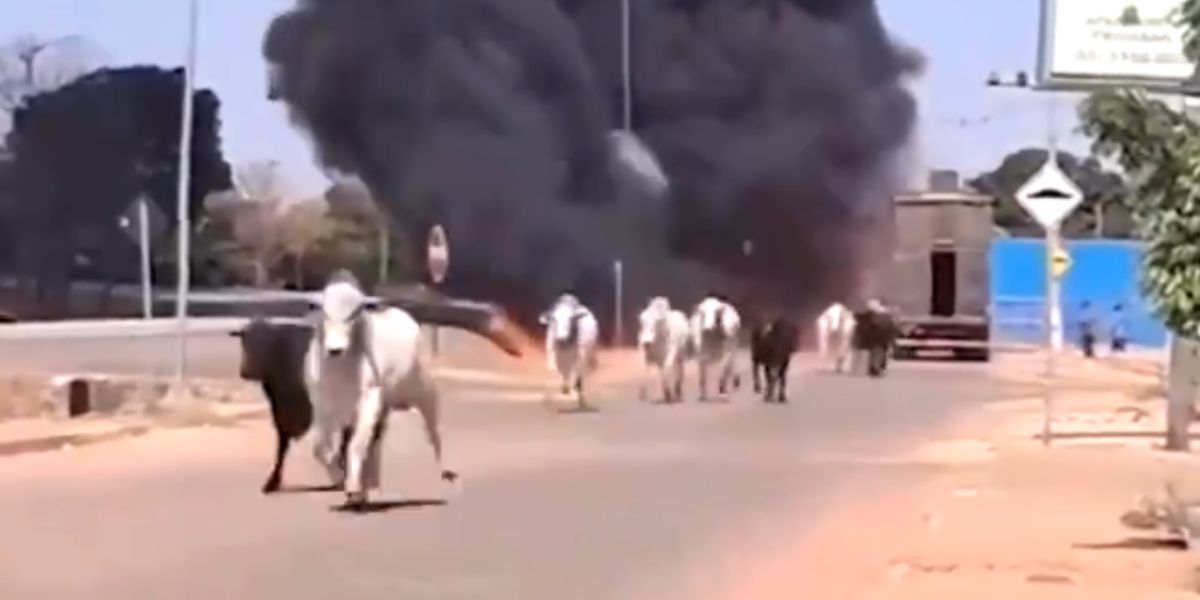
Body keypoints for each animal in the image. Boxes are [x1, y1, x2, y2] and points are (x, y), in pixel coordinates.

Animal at [307, 273, 456, 511]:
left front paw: (352, 488)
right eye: (325, 313)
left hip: (425, 394)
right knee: (376, 441)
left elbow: (356, 446)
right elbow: (320, 448)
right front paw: (342, 480)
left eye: (353, 314)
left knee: (433, 431)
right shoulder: (323, 407)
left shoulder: (369, 401)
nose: (335, 349)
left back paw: (445, 471)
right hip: (384, 407)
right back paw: (367, 488)